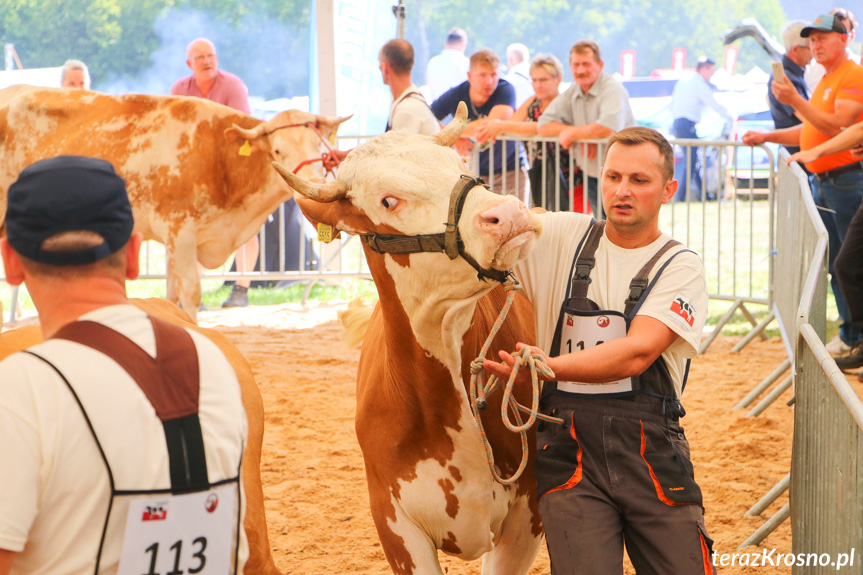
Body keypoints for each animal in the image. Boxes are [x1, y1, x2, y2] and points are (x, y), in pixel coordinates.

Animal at [0, 85, 352, 322]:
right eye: (277, 151)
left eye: (319, 148)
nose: (314, 185)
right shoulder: (180, 232)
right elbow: (190, 294)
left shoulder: (174, 239)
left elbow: (170, 297)